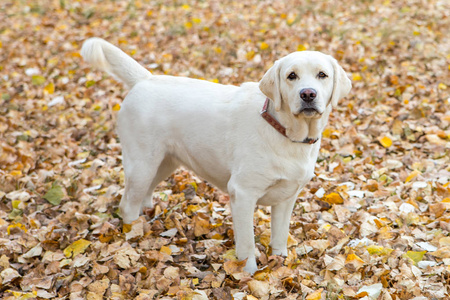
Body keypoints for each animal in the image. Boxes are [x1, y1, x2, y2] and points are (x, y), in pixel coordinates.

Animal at [81, 38, 352, 274]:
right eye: (291, 76)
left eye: (322, 75)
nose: (308, 94)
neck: (285, 132)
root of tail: (145, 79)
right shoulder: (242, 194)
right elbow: (247, 243)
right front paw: (249, 275)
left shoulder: (287, 197)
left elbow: (280, 237)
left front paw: (280, 265)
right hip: (142, 165)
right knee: (127, 204)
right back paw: (132, 239)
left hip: (164, 163)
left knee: (143, 196)